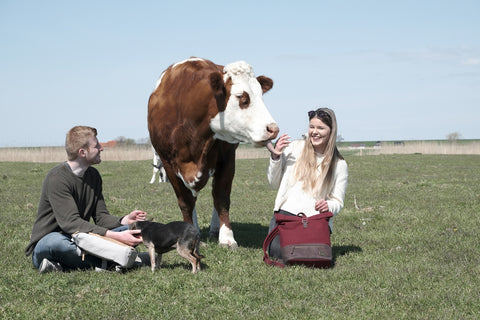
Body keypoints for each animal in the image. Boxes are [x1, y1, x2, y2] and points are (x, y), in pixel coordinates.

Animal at [148, 57, 280, 248]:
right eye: (242, 97)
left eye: (260, 95)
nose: (273, 129)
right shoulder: (168, 163)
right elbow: (185, 202)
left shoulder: (227, 159)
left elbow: (221, 197)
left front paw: (226, 238)